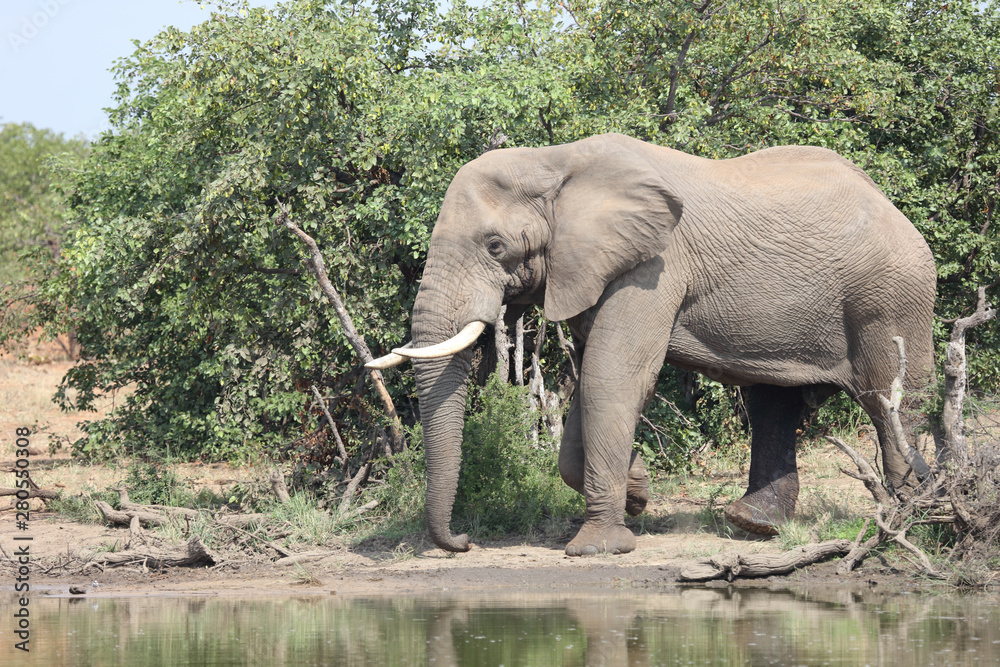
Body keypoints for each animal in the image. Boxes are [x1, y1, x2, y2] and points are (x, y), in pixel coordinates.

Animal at [369, 133, 936, 557]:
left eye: (495, 246)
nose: (463, 541)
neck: (555, 162)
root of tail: (897, 210)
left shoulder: (653, 266)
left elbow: (611, 375)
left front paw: (598, 547)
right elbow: (593, 379)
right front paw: (636, 492)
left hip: (889, 297)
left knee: (890, 401)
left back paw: (914, 513)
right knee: (772, 402)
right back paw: (754, 526)